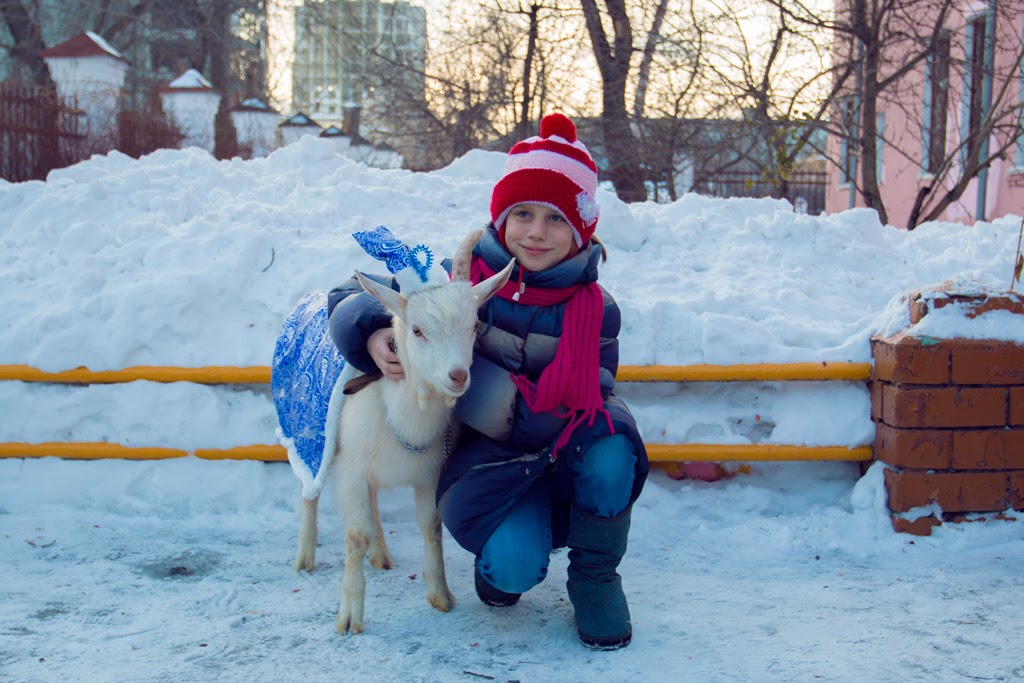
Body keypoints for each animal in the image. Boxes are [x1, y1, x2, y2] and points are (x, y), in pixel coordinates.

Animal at [292, 228, 513, 635]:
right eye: (418, 330)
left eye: (474, 326)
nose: (457, 376)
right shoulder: (352, 471)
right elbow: (355, 536)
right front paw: (349, 616)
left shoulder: (428, 474)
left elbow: (431, 526)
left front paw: (440, 595)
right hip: (307, 435)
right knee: (309, 491)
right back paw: (305, 556)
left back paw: (380, 554)